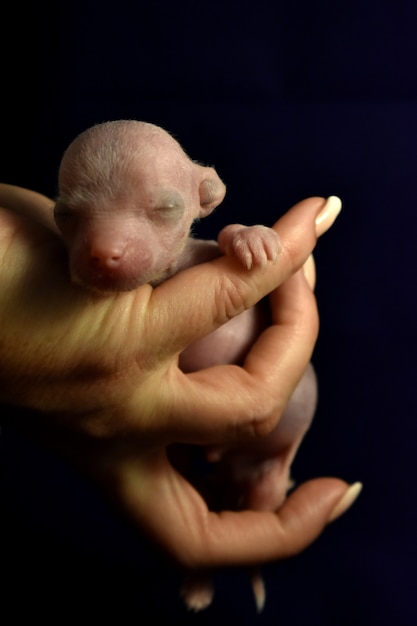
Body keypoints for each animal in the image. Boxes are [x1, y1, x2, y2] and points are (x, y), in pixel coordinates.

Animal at [52, 120, 318, 608]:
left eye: (166, 208)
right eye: (67, 214)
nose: (103, 253)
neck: (166, 274)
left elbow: (258, 264)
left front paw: (251, 237)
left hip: (273, 464)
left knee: (266, 492)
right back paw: (199, 583)